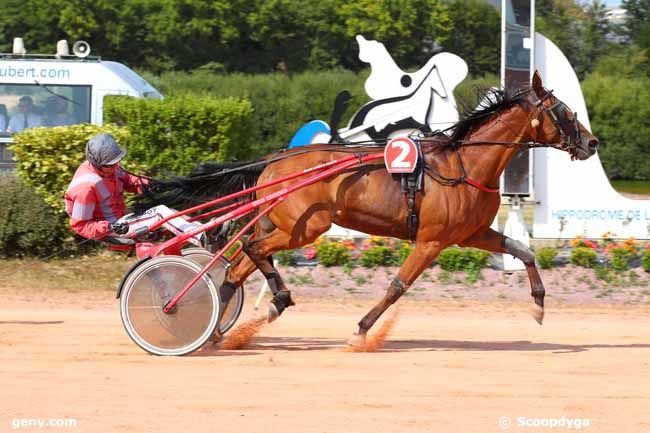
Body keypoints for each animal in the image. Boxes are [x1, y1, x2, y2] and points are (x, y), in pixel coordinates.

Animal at [137, 71, 596, 348]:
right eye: (563, 111)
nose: (591, 142)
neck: (464, 164)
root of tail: (273, 160)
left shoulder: (470, 235)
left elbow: (524, 251)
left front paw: (538, 305)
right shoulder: (431, 240)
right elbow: (397, 286)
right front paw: (361, 330)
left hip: (283, 224)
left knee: (239, 263)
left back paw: (220, 323)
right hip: (305, 227)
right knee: (251, 250)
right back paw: (253, 304)